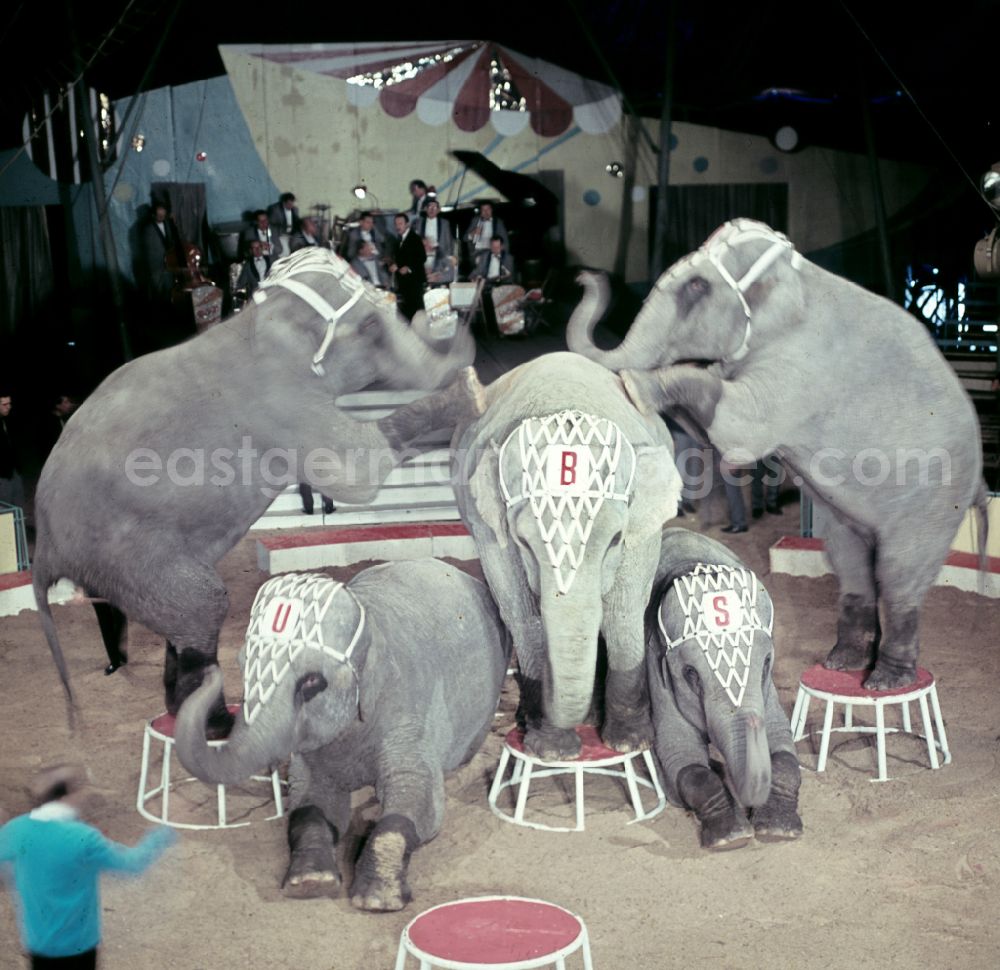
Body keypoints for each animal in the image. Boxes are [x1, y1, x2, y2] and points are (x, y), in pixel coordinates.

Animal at [33, 246, 478, 728]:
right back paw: (219, 723)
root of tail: (44, 549)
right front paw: (468, 394)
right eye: (371, 327)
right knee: (202, 606)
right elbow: (357, 473)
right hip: (129, 555)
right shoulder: (281, 405)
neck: (262, 321)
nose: (445, 309)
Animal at [172, 556, 512, 912]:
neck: (369, 617)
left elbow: (421, 797)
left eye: (311, 681)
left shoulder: (409, 705)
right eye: (242, 665)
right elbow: (311, 799)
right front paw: (309, 882)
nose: (209, 670)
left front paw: (377, 899)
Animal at [452, 352, 680, 760]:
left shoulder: (642, 528)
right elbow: (522, 613)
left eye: (616, 540)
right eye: (524, 543)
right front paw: (553, 751)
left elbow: (624, 610)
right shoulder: (486, 528)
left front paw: (629, 742)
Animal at [568, 219, 988, 688]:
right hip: (853, 522)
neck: (799, 277)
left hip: (933, 504)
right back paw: (840, 662)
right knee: (851, 565)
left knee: (899, 575)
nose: (584, 276)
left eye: (696, 286)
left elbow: (738, 431)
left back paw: (884, 680)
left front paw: (636, 386)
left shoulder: (806, 370)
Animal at [648, 524, 804, 852]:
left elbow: (782, 740)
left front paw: (778, 830)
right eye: (691, 674)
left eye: (767, 661)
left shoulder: (767, 690)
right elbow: (679, 753)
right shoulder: (655, 671)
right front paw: (730, 837)